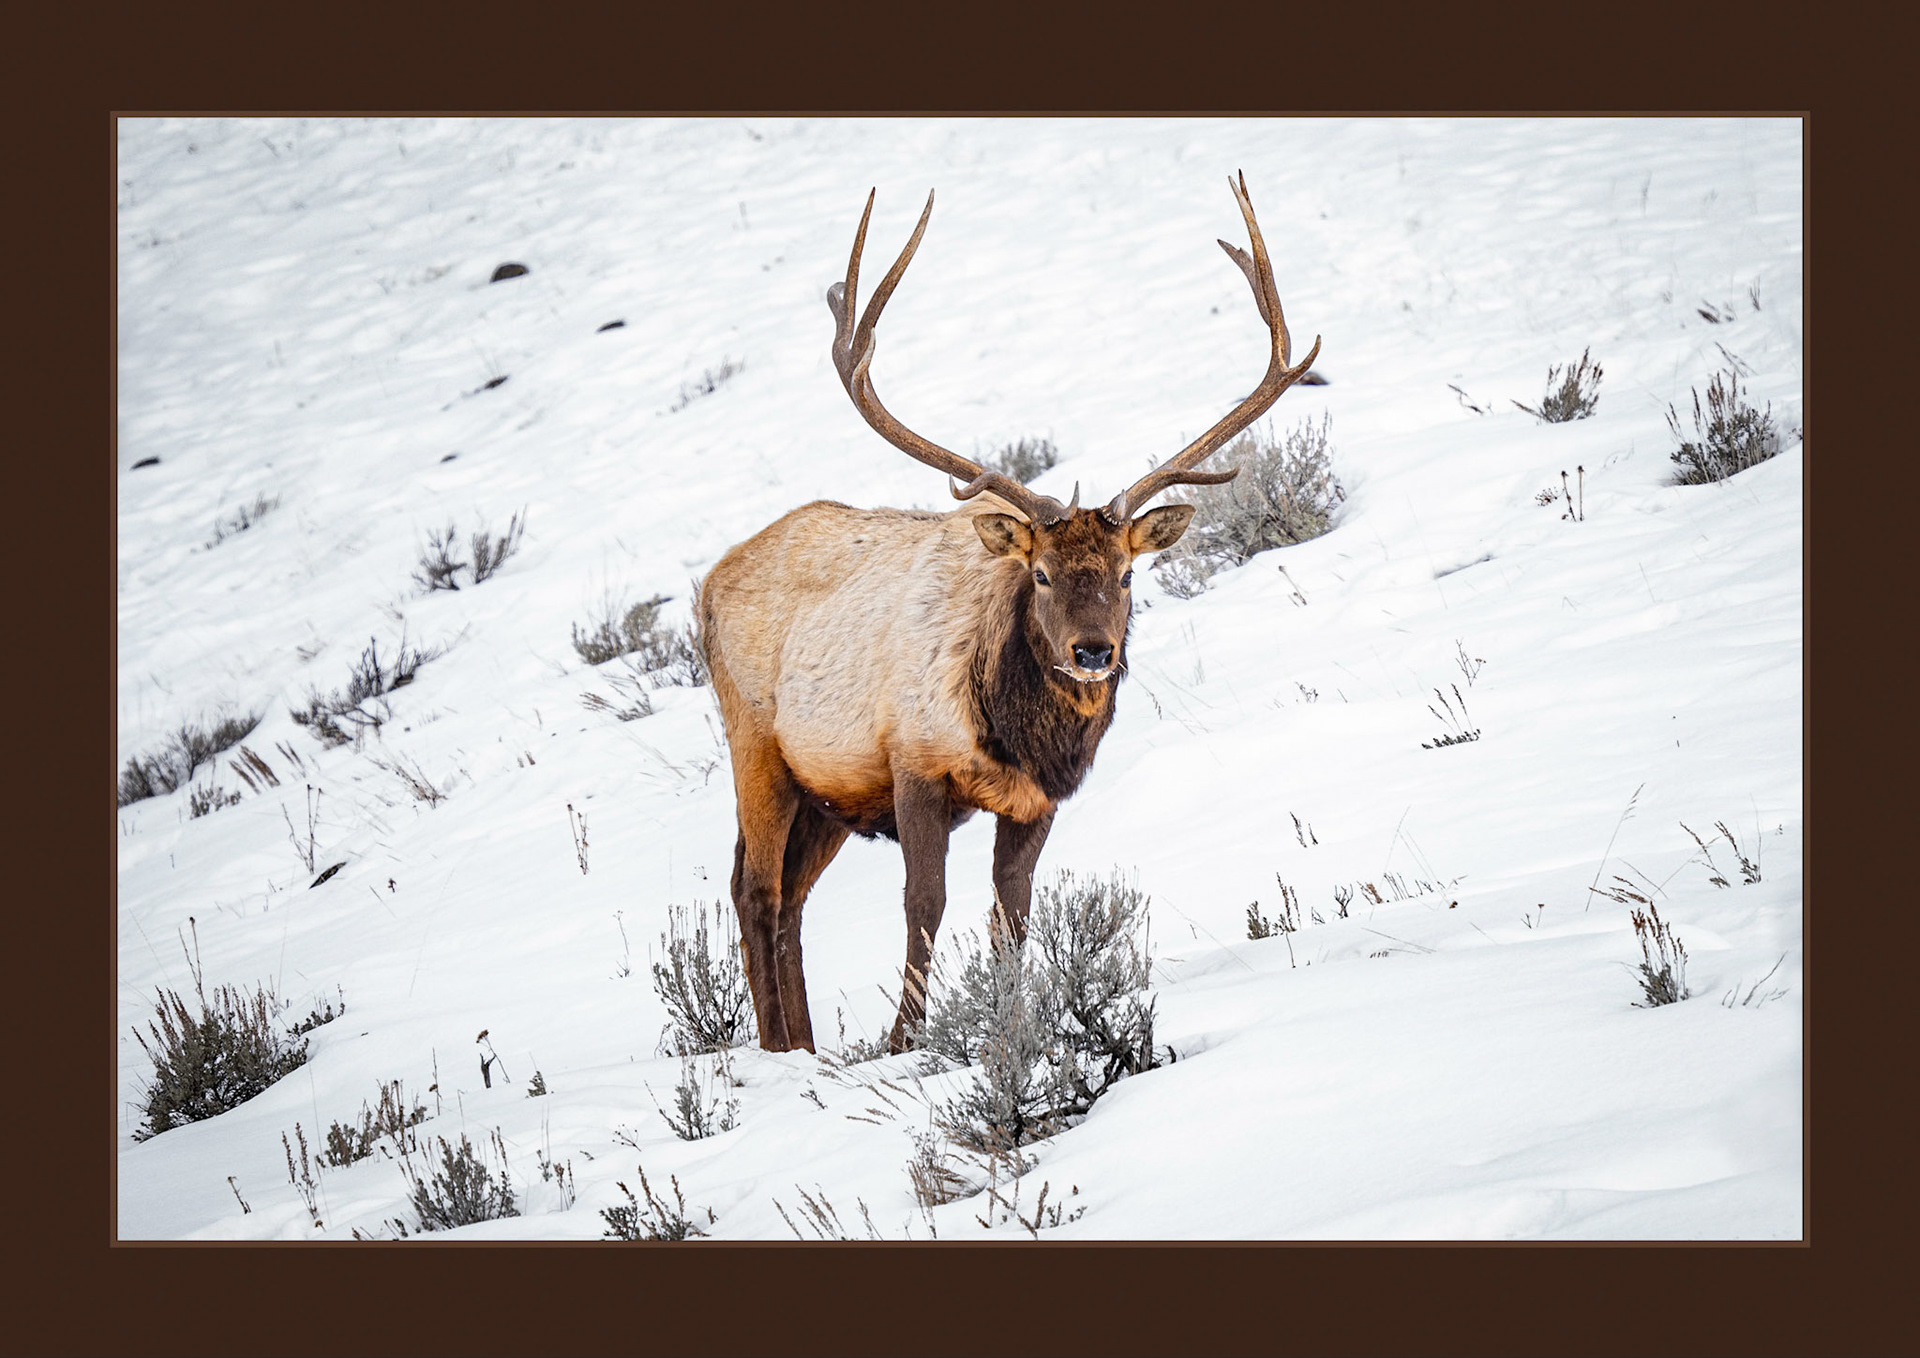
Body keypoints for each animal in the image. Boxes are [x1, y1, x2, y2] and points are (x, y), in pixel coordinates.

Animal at [697, 172, 1321, 1053]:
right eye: (1043, 574)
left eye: (1127, 573)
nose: (1092, 652)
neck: (1016, 732)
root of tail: (707, 585)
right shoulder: (912, 762)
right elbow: (924, 905)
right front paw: (905, 1039)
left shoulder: (1036, 802)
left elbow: (1013, 916)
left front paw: (1011, 1026)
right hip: (757, 742)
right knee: (754, 890)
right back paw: (779, 1052)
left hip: (827, 793)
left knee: (789, 900)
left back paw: (808, 1047)